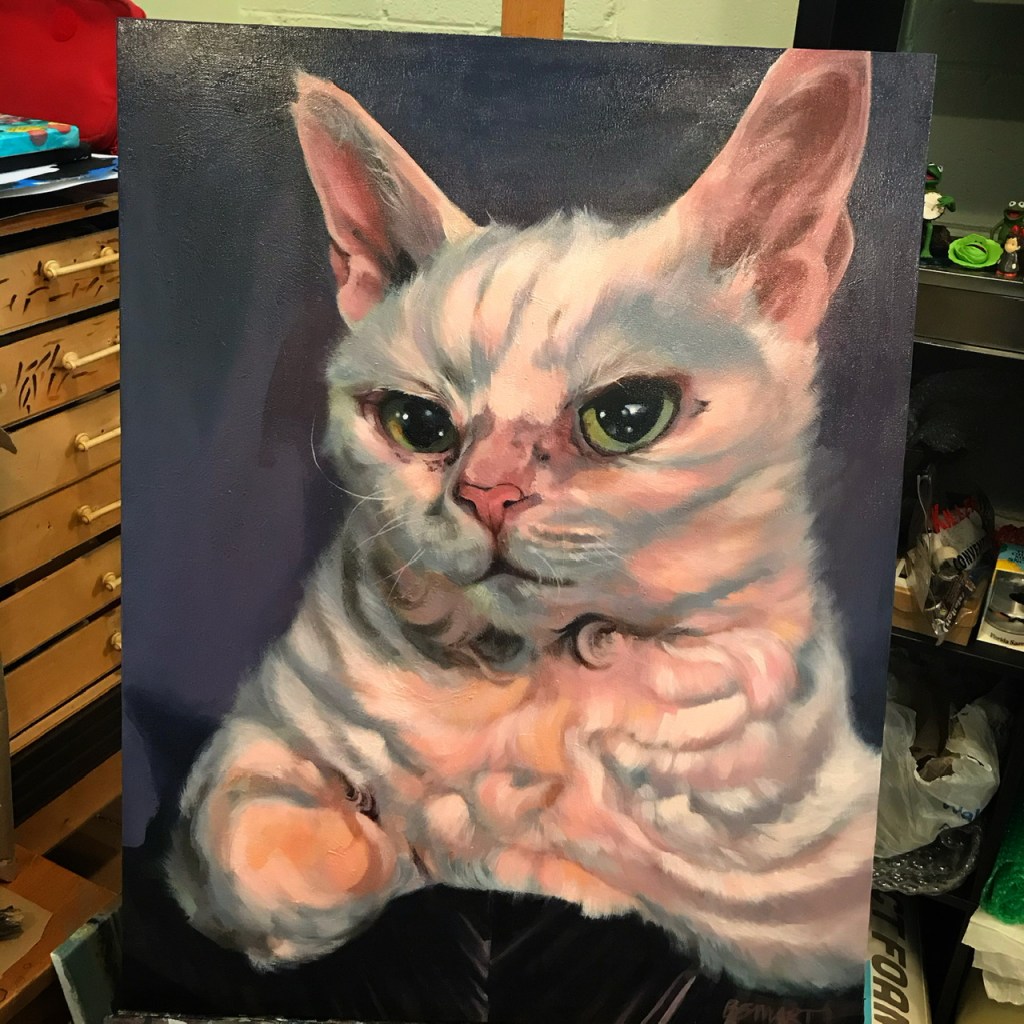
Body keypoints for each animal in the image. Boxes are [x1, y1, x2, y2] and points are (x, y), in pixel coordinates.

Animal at [169, 48, 880, 996]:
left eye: (627, 418)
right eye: (418, 425)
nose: (486, 494)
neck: (529, 684)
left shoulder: (807, 896)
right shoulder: (248, 741)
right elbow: (272, 849)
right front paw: (379, 840)